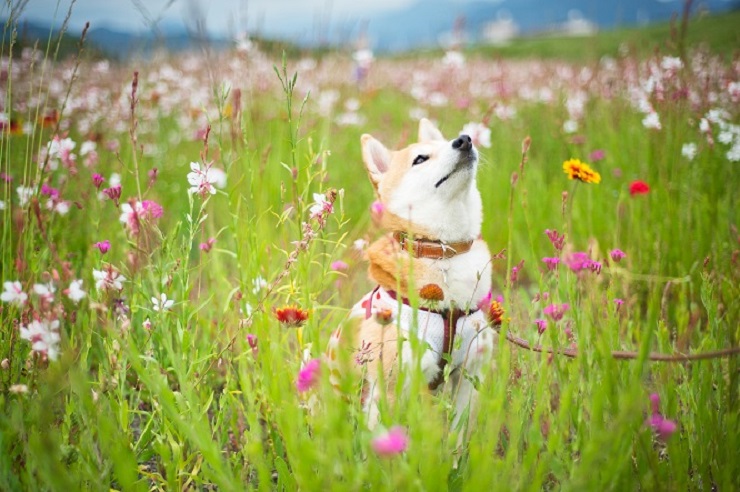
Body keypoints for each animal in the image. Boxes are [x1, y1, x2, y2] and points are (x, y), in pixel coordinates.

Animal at [326, 118, 494, 430]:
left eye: (449, 141)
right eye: (420, 159)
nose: (464, 140)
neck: (441, 250)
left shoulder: (468, 377)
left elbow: (459, 434)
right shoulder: (391, 385)